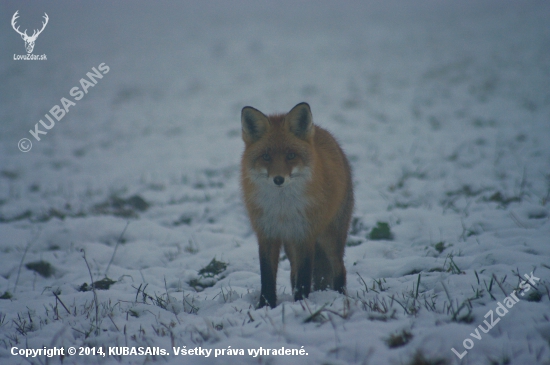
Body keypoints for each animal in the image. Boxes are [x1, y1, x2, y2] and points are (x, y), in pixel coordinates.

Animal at [243, 101, 356, 306]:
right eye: (266, 156)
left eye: (290, 155)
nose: (278, 179)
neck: (282, 210)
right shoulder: (267, 234)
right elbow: (267, 276)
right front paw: (265, 305)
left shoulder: (305, 234)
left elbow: (304, 277)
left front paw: (301, 304)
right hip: (291, 246)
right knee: (294, 273)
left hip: (330, 238)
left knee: (339, 269)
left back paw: (340, 297)